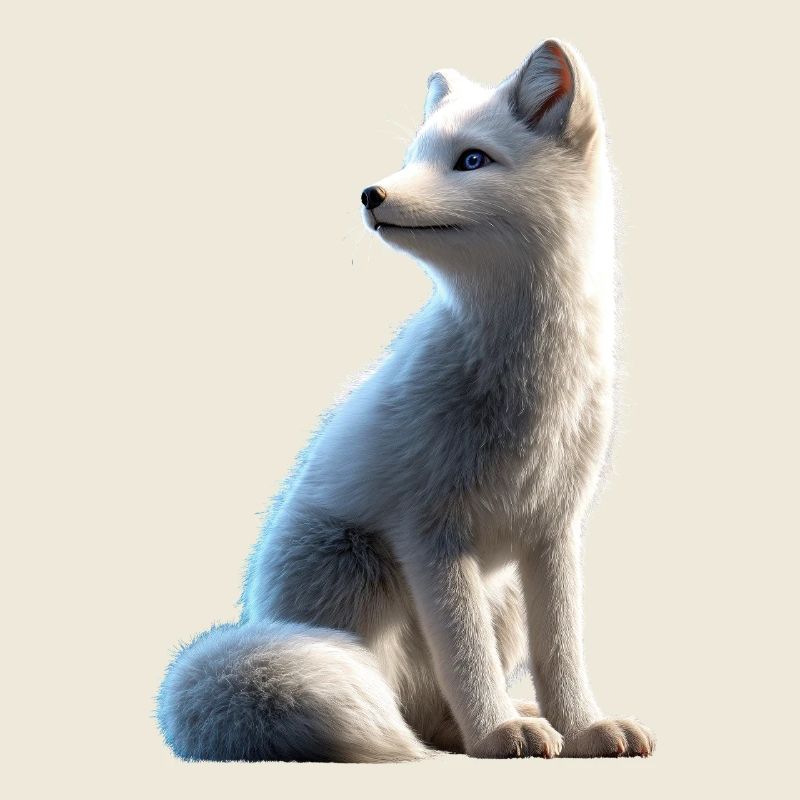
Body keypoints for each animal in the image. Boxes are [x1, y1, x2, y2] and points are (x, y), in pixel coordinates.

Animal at [157, 38, 654, 762]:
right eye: (415, 155)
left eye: (472, 159)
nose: (371, 193)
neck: (529, 379)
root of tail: (259, 617)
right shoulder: (430, 532)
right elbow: (467, 659)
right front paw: (498, 733)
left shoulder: (553, 531)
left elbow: (562, 652)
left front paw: (585, 727)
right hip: (360, 573)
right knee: (405, 705)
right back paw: (479, 730)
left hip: (500, 596)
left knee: (433, 708)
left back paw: (516, 721)